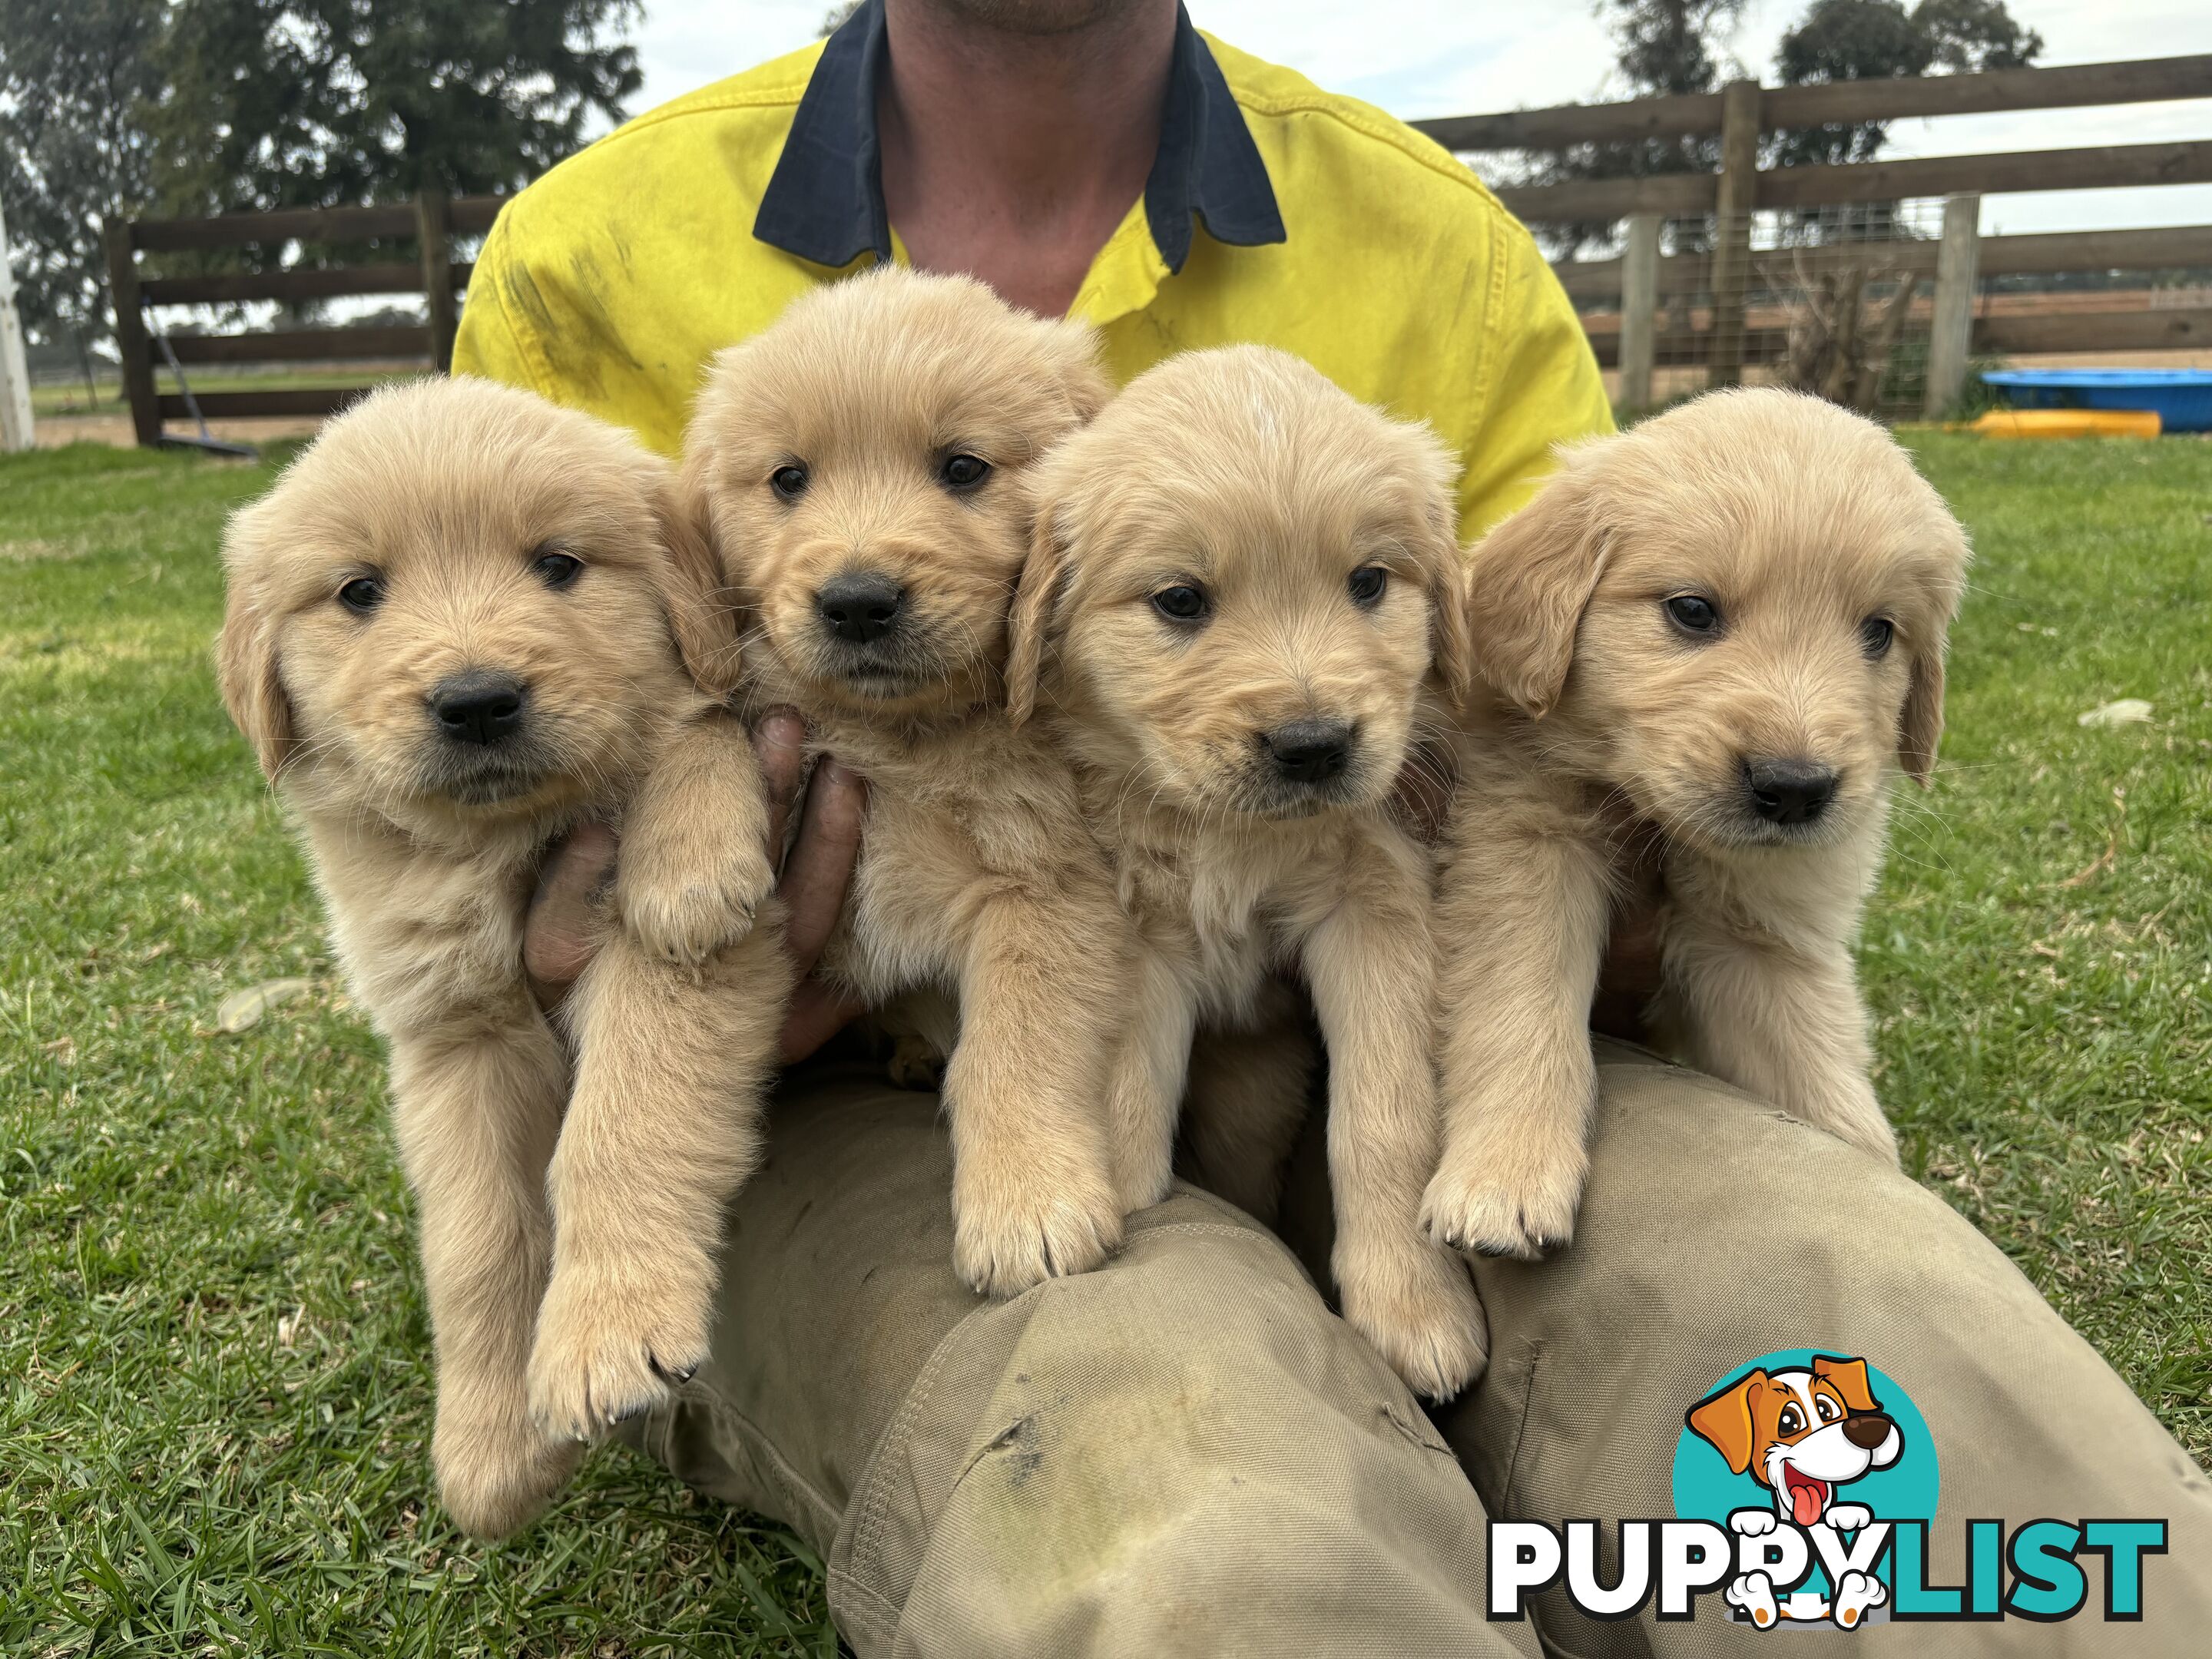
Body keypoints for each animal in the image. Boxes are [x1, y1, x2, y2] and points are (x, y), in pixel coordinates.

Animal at [220, 380, 792, 1548]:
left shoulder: (672, 962)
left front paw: (606, 1333)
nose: (477, 699)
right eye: (359, 591)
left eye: (560, 565)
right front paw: (490, 1448)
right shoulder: (454, 1033)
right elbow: (475, 1243)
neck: (502, 846)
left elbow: (622, 1129)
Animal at [681, 270, 1132, 1300]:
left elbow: (1018, 1045)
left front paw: (1029, 1204)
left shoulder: (1050, 884)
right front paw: (690, 870)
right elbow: (716, 716)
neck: (901, 740)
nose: (856, 603)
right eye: (788, 479)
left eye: (963, 468)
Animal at [1013, 347, 1495, 1406]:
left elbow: (1382, 1120)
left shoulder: (1374, 907)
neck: (1232, 839)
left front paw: (1413, 1308)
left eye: (1369, 582)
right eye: (1181, 599)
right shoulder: (1138, 930)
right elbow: (1125, 1105)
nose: (1313, 745)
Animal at [1424, 387, 1982, 1256]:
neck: (1653, 818)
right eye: (1692, 611)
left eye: (1880, 633)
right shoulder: (1524, 860)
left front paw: (1882, 1188)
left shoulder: (1761, 941)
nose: (1796, 789)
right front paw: (1504, 1177)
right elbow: (1522, 1015)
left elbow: (1817, 1073)